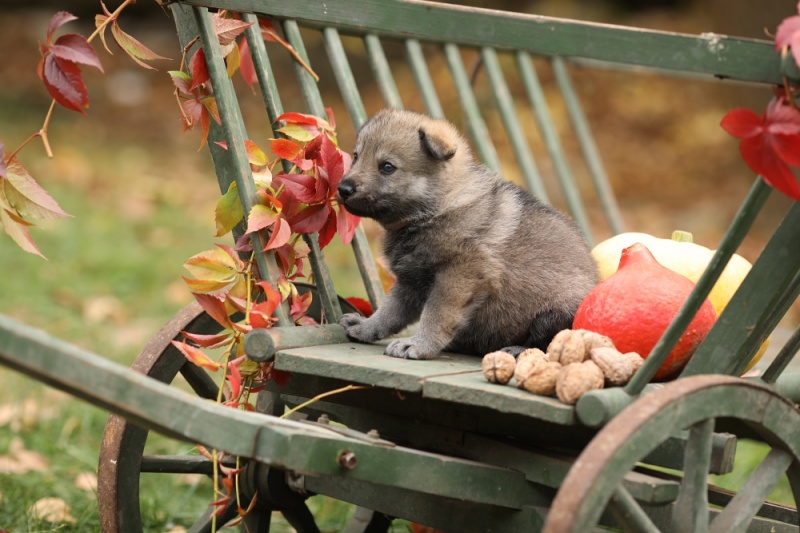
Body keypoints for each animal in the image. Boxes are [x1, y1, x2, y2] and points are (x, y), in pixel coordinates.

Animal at [334, 108, 596, 360]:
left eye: (387, 167)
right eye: (356, 156)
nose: (343, 188)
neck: (437, 207)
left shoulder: (459, 275)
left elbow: (436, 314)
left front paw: (418, 345)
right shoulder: (411, 280)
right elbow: (389, 311)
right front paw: (366, 327)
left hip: (554, 311)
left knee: (547, 342)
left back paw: (516, 349)